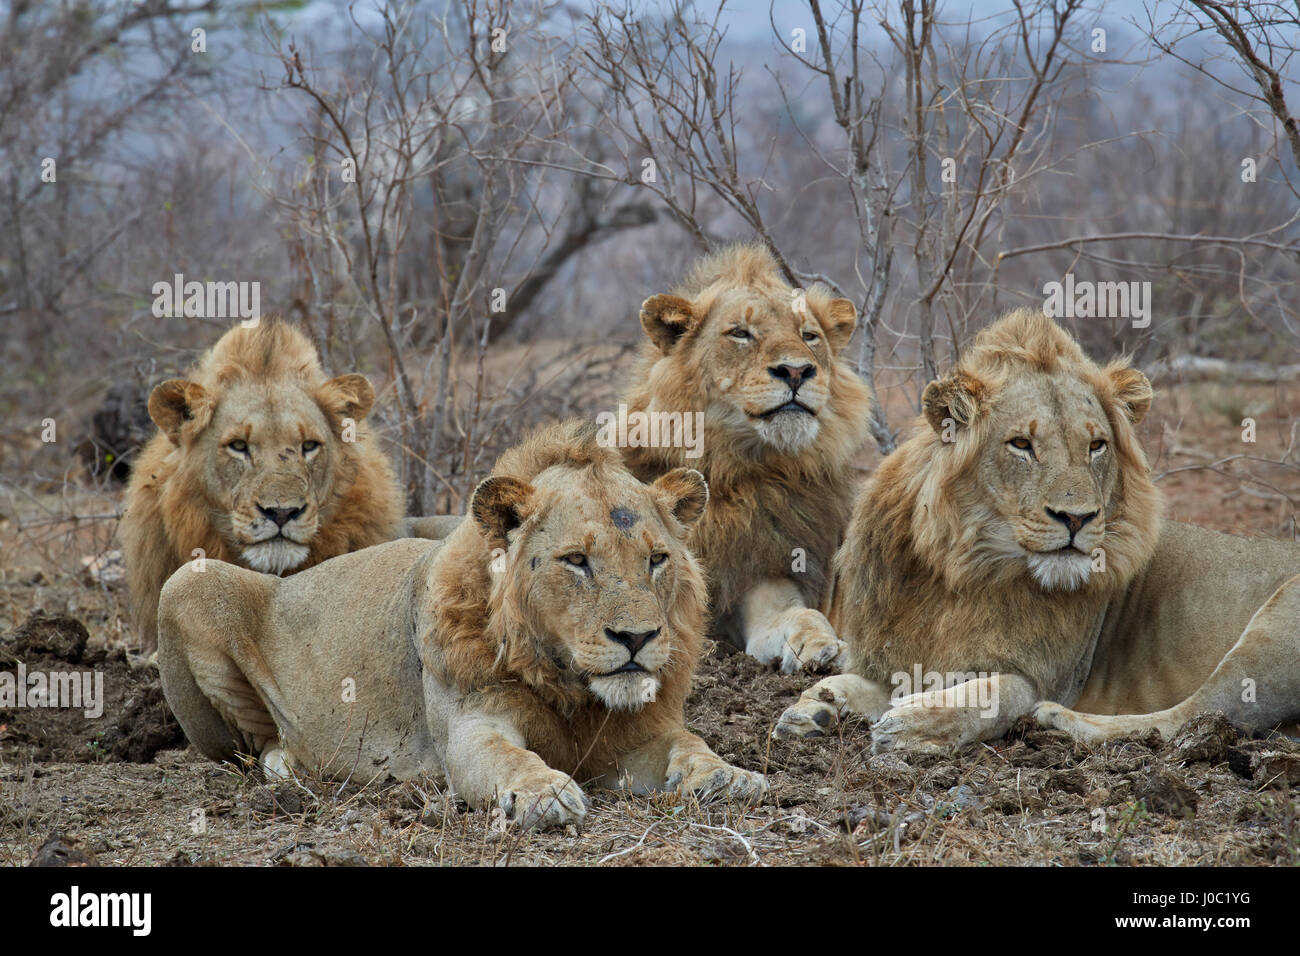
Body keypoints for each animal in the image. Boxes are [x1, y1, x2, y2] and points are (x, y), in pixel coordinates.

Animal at [155, 420, 767, 828]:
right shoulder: (470, 727)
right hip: (188, 580)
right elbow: (505, 757)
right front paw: (544, 793)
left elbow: (690, 742)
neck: (570, 686)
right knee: (253, 747)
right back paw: (290, 765)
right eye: (576, 560)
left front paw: (728, 776)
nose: (636, 639)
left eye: (656, 559)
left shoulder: (636, 736)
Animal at [620, 244, 873, 673]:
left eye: (809, 336)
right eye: (741, 333)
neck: (731, 470)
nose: (796, 371)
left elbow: (800, 615)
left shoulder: (766, 577)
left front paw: (822, 646)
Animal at [775, 308, 1300, 751]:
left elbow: (1000, 692)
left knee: (1196, 717)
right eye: (1021, 445)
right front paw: (816, 707)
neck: (965, 571)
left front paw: (914, 724)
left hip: (1273, 632)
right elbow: (849, 682)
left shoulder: (1051, 675)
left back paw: (1058, 720)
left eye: (1096, 445)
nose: (1077, 518)